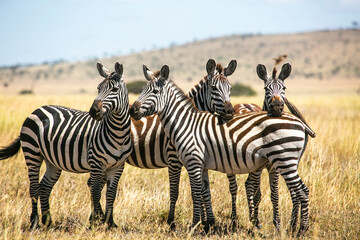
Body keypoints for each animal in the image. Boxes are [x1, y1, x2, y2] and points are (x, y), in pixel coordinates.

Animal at [0, 61, 132, 229]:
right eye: (98, 88)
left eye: (114, 89)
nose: (93, 111)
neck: (118, 133)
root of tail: (38, 109)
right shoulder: (96, 163)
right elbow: (96, 192)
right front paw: (95, 223)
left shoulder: (118, 166)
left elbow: (111, 194)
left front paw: (110, 223)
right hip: (32, 153)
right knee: (34, 188)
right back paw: (34, 222)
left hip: (52, 161)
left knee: (44, 187)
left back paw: (48, 221)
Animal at [131, 64, 310, 236]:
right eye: (142, 89)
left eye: (154, 91)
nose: (132, 110)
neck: (186, 123)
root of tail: (299, 122)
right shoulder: (201, 165)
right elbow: (204, 192)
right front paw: (206, 225)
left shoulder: (191, 162)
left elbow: (193, 193)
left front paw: (192, 226)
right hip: (285, 162)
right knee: (301, 190)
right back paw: (298, 228)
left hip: (284, 160)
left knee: (302, 191)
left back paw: (301, 230)